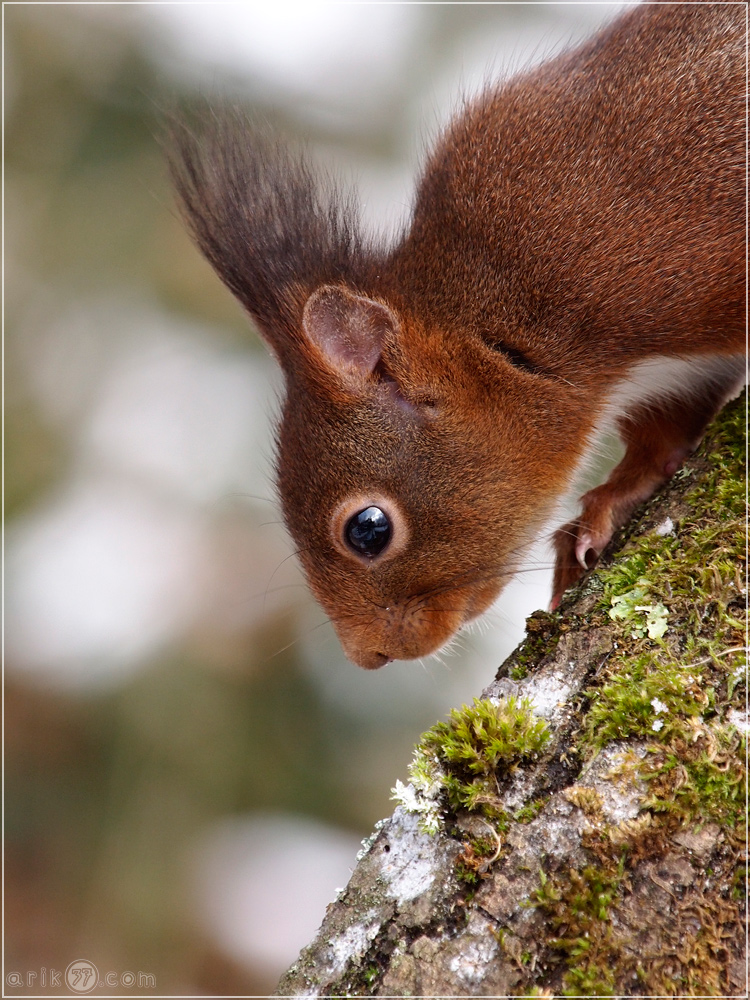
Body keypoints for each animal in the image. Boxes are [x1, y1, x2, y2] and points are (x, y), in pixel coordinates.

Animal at [172, 3, 748, 672]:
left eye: (368, 529)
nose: (369, 656)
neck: (499, 306)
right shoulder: (671, 378)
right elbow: (663, 442)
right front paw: (601, 510)